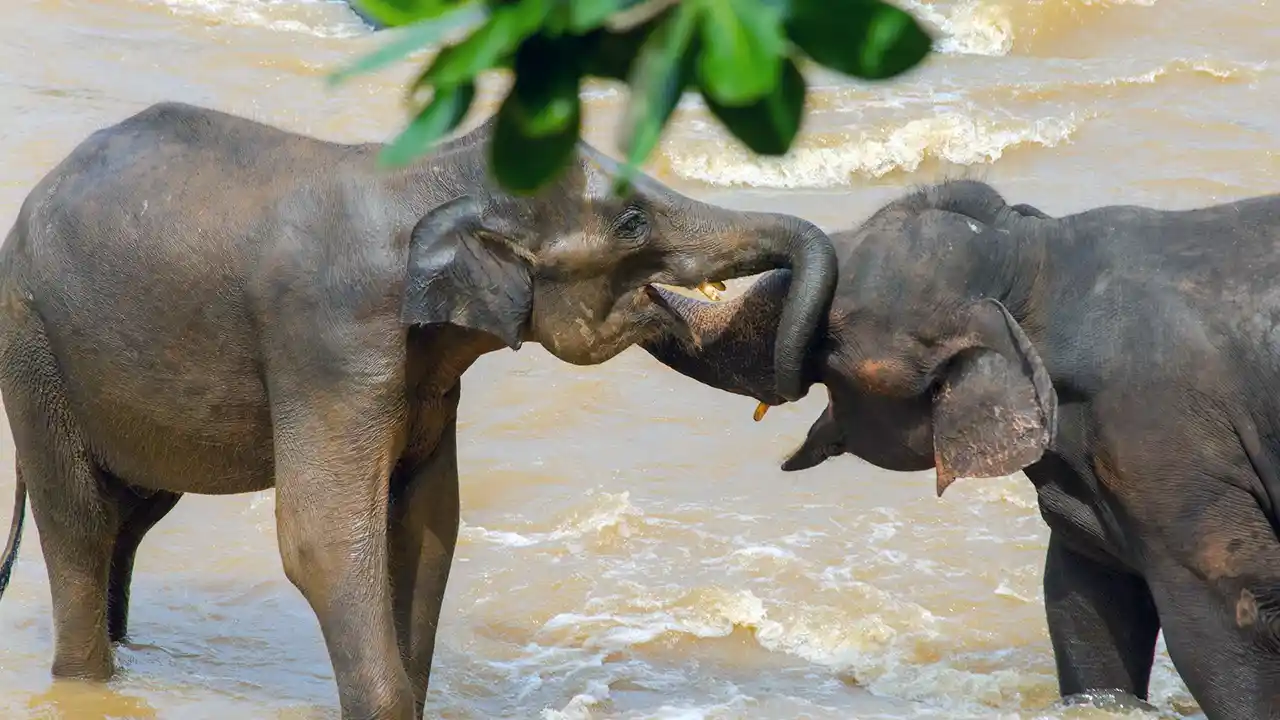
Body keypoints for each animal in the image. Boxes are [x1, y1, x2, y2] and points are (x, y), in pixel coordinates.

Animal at [0, 101, 837, 720]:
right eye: (631, 225)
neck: (435, 173)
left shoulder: (430, 376)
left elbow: (431, 523)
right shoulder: (330, 344)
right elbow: (323, 538)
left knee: (133, 516)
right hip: (33, 349)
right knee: (79, 523)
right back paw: (87, 676)